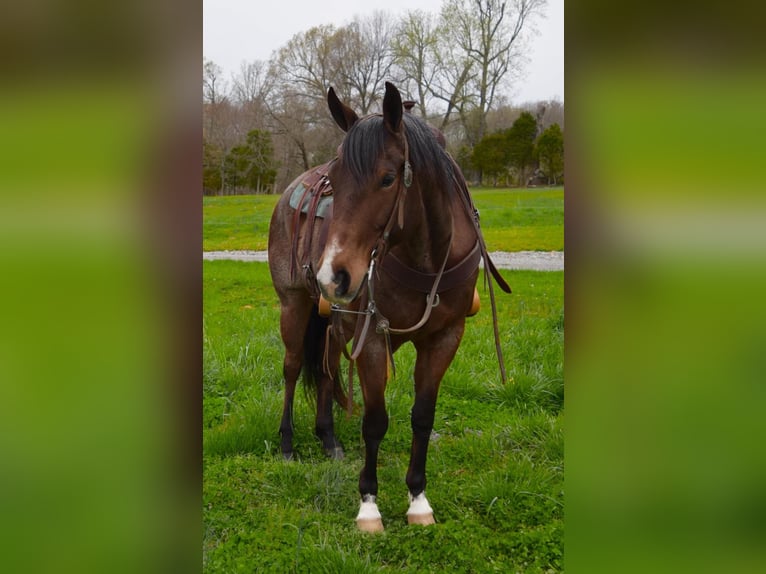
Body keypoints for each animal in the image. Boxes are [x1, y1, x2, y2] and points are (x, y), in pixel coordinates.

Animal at [268, 82, 512, 536]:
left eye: (386, 179)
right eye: (335, 182)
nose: (334, 275)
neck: (425, 255)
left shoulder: (444, 337)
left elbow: (423, 416)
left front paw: (418, 499)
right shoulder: (373, 337)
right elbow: (375, 420)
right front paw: (369, 506)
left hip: (335, 323)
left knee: (326, 370)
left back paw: (329, 440)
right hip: (294, 305)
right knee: (292, 368)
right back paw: (288, 442)